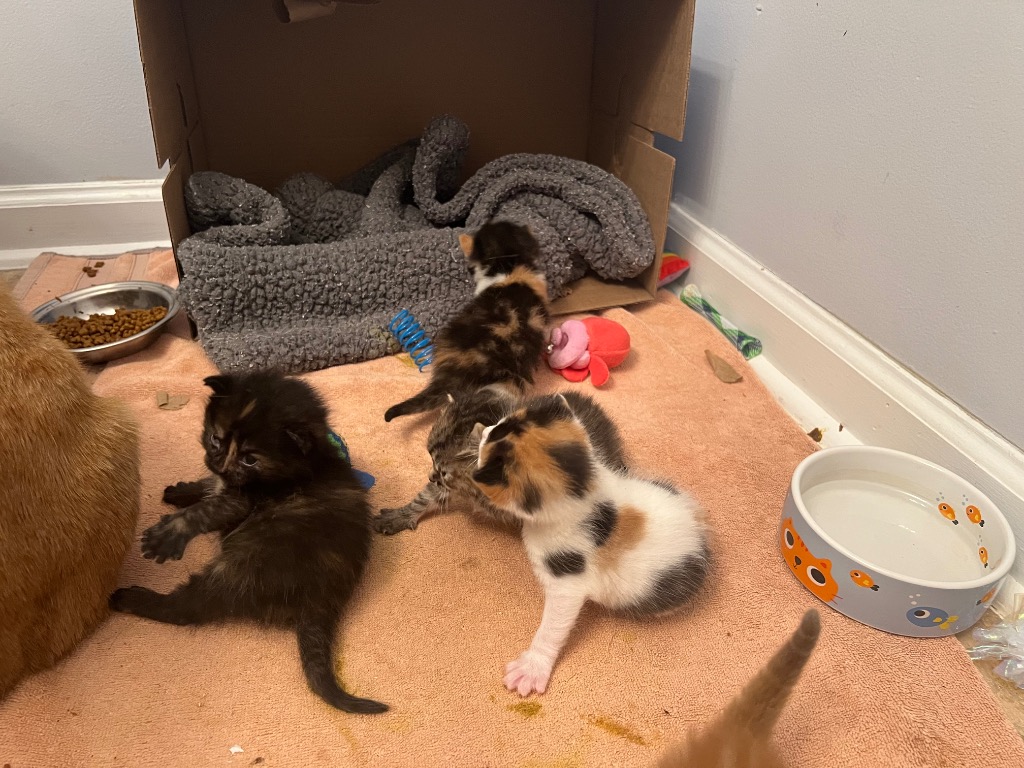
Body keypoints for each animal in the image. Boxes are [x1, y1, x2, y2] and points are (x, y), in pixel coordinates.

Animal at [109, 371, 387, 715]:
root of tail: (324, 598)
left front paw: (169, 534)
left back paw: (131, 598)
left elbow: (203, 511)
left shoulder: (241, 502)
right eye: (216, 439)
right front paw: (182, 490)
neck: (308, 464)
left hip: (239, 567)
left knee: (186, 609)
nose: (219, 464)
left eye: (250, 458)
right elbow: (208, 487)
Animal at [471, 393, 710, 696]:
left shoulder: (567, 579)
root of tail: (701, 539)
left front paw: (533, 667)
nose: (485, 430)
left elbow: (555, 623)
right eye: (499, 423)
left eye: (489, 444)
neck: (585, 491)